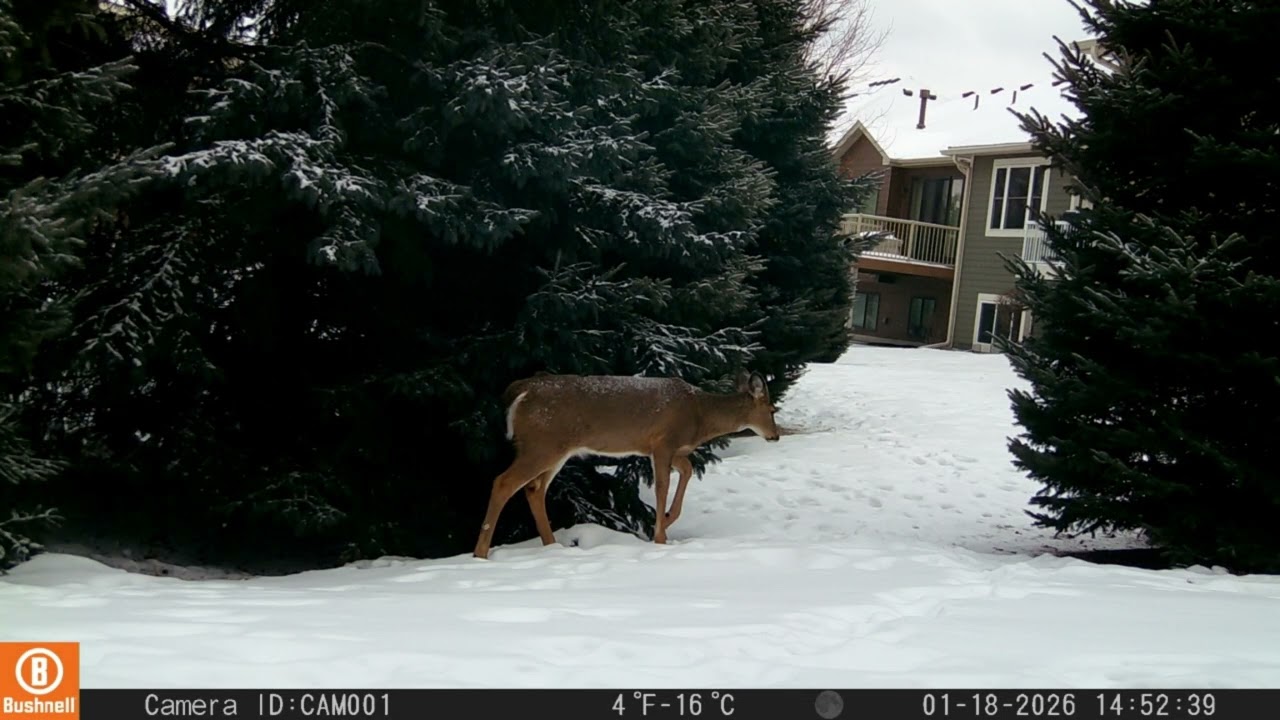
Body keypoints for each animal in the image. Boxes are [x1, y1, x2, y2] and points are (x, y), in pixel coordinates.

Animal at [472, 369, 781, 559]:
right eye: (771, 409)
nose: (775, 436)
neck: (700, 415)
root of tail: (520, 390)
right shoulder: (663, 442)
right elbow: (662, 486)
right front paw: (660, 537)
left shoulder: (667, 448)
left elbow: (688, 469)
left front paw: (667, 519)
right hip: (542, 444)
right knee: (504, 482)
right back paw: (480, 553)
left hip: (554, 449)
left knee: (534, 489)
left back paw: (552, 546)